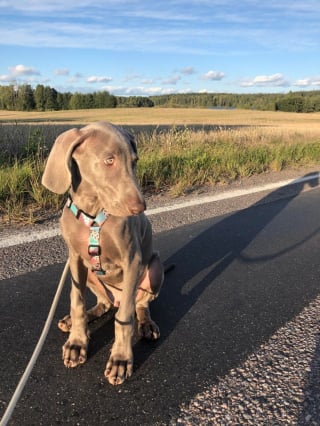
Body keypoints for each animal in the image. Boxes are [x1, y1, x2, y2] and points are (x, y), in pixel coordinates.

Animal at [41, 121, 164, 384]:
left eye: (134, 161)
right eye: (109, 160)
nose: (141, 207)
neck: (93, 214)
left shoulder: (132, 260)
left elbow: (125, 317)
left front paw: (120, 359)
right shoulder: (75, 259)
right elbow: (76, 301)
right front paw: (77, 343)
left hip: (155, 268)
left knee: (139, 304)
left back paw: (147, 325)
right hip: (90, 275)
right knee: (105, 303)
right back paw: (78, 318)